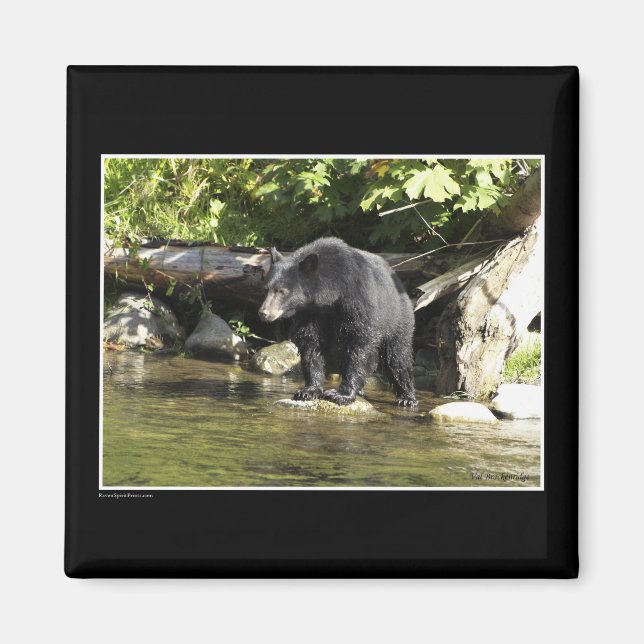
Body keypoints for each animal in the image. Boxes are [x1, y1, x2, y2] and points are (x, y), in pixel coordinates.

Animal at [258, 237, 417, 408]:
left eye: (282, 291)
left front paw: (342, 395)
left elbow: (359, 344)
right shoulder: (311, 313)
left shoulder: (358, 301)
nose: (264, 313)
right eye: (266, 289)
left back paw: (407, 397)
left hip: (397, 318)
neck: (332, 293)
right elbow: (310, 344)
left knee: (397, 356)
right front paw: (308, 391)